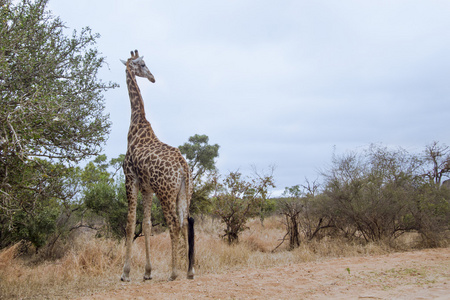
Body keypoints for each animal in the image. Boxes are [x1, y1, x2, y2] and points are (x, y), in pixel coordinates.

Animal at [119, 49, 195, 282]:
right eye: (142, 64)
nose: (152, 77)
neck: (136, 126)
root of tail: (183, 166)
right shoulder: (146, 188)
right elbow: (147, 224)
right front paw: (147, 272)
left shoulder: (130, 179)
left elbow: (130, 222)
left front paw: (125, 273)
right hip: (184, 192)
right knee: (184, 222)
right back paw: (189, 271)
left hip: (165, 192)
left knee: (173, 224)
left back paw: (174, 272)